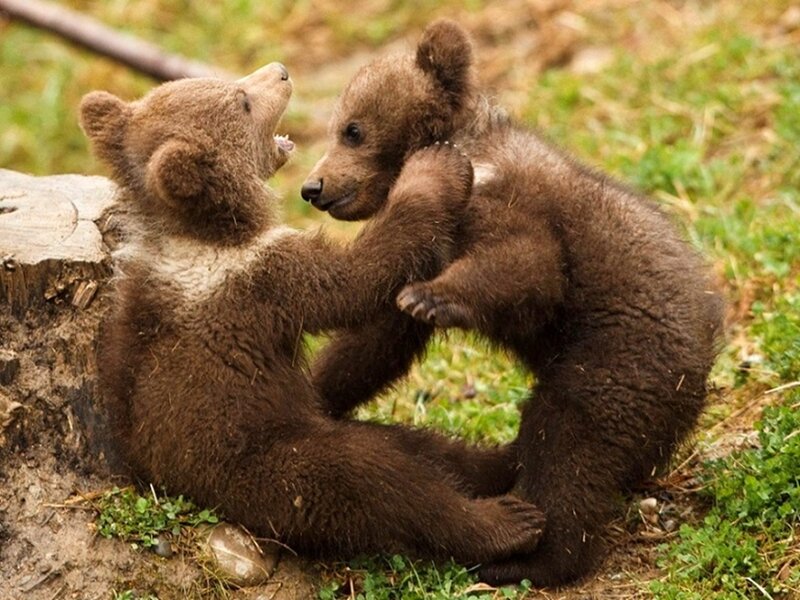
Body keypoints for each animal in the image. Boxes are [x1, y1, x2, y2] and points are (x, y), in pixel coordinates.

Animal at [80, 61, 547, 565]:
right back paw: (506, 521)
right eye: (242, 101)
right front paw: (433, 167)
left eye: (233, 85)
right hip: (264, 466)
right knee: (374, 478)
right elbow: (356, 278)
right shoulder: (265, 280)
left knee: (414, 446)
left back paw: (502, 457)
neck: (205, 234)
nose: (280, 71)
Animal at [301, 21, 724, 586]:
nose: (313, 186)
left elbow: (530, 263)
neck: (464, 148)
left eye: (352, 129)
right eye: (335, 127)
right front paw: (317, 390)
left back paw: (531, 556)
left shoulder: (503, 202)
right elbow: (374, 341)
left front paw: (433, 298)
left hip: (619, 360)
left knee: (567, 441)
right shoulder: (433, 241)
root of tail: (701, 366)